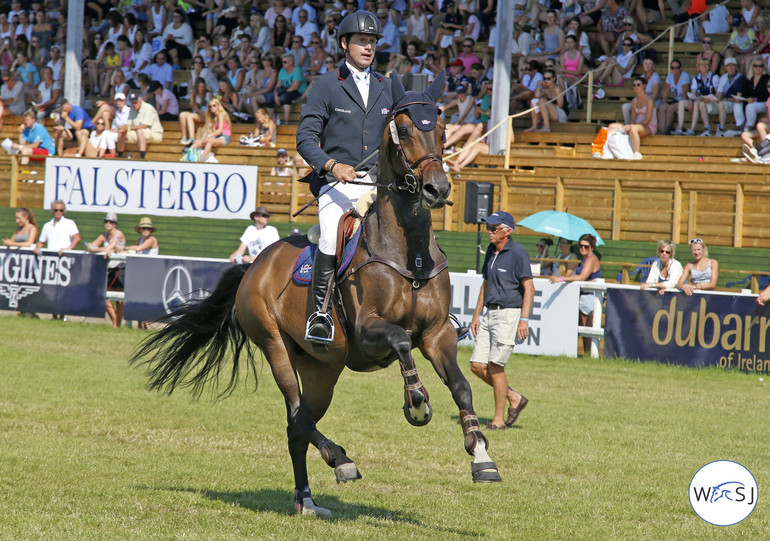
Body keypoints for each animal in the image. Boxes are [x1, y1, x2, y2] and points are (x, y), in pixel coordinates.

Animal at [129, 74, 500, 516]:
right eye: (406, 130)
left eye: (443, 132)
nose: (436, 189)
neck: (408, 250)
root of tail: (254, 265)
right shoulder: (371, 332)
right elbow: (398, 341)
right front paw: (416, 401)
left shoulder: (436, 334)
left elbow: (462, 387)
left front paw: (482, 456)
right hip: (276, 347)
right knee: (297, 418)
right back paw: (340, 462)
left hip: (322, 368)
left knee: (299, 426)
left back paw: (306, 498)